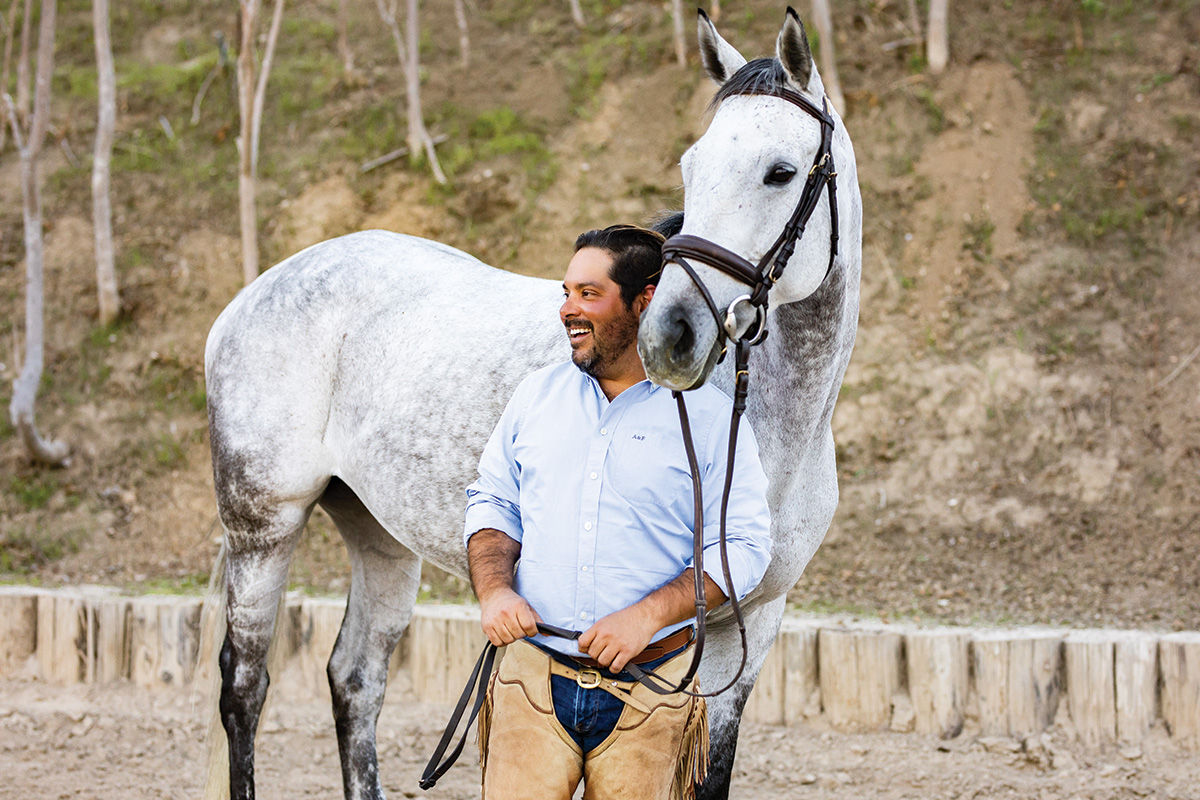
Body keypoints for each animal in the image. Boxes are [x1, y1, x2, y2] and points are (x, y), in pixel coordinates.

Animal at [206, 7, 859, 800]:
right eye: (691, 166)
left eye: (780, 171)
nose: (672, 334)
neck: (774, 427)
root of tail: (254, 293)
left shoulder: (752, 625)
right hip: (263, 528)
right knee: (245, 686)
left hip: (380, 538)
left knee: (354, 678)